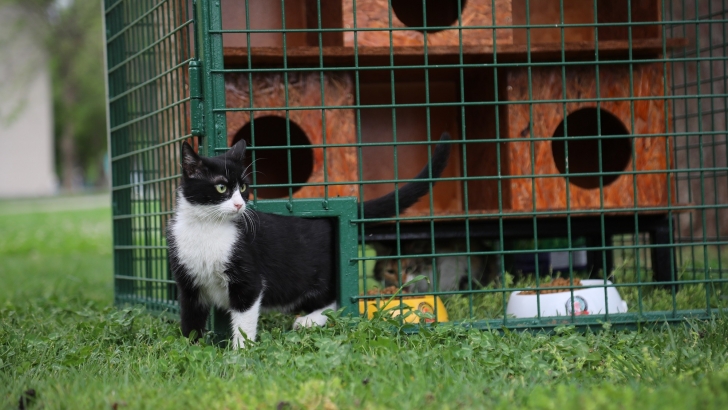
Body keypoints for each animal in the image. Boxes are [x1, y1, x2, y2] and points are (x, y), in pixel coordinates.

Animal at [168, 133, 450, 348]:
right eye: (222, 188)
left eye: (244, 187)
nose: (239, 204)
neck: (207, 228)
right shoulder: (187, 281)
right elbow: (190, 317)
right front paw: (191, 347)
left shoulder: (248, 277)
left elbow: (245, 317)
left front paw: (240, 354)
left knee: (336, 299)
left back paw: (309, 320)